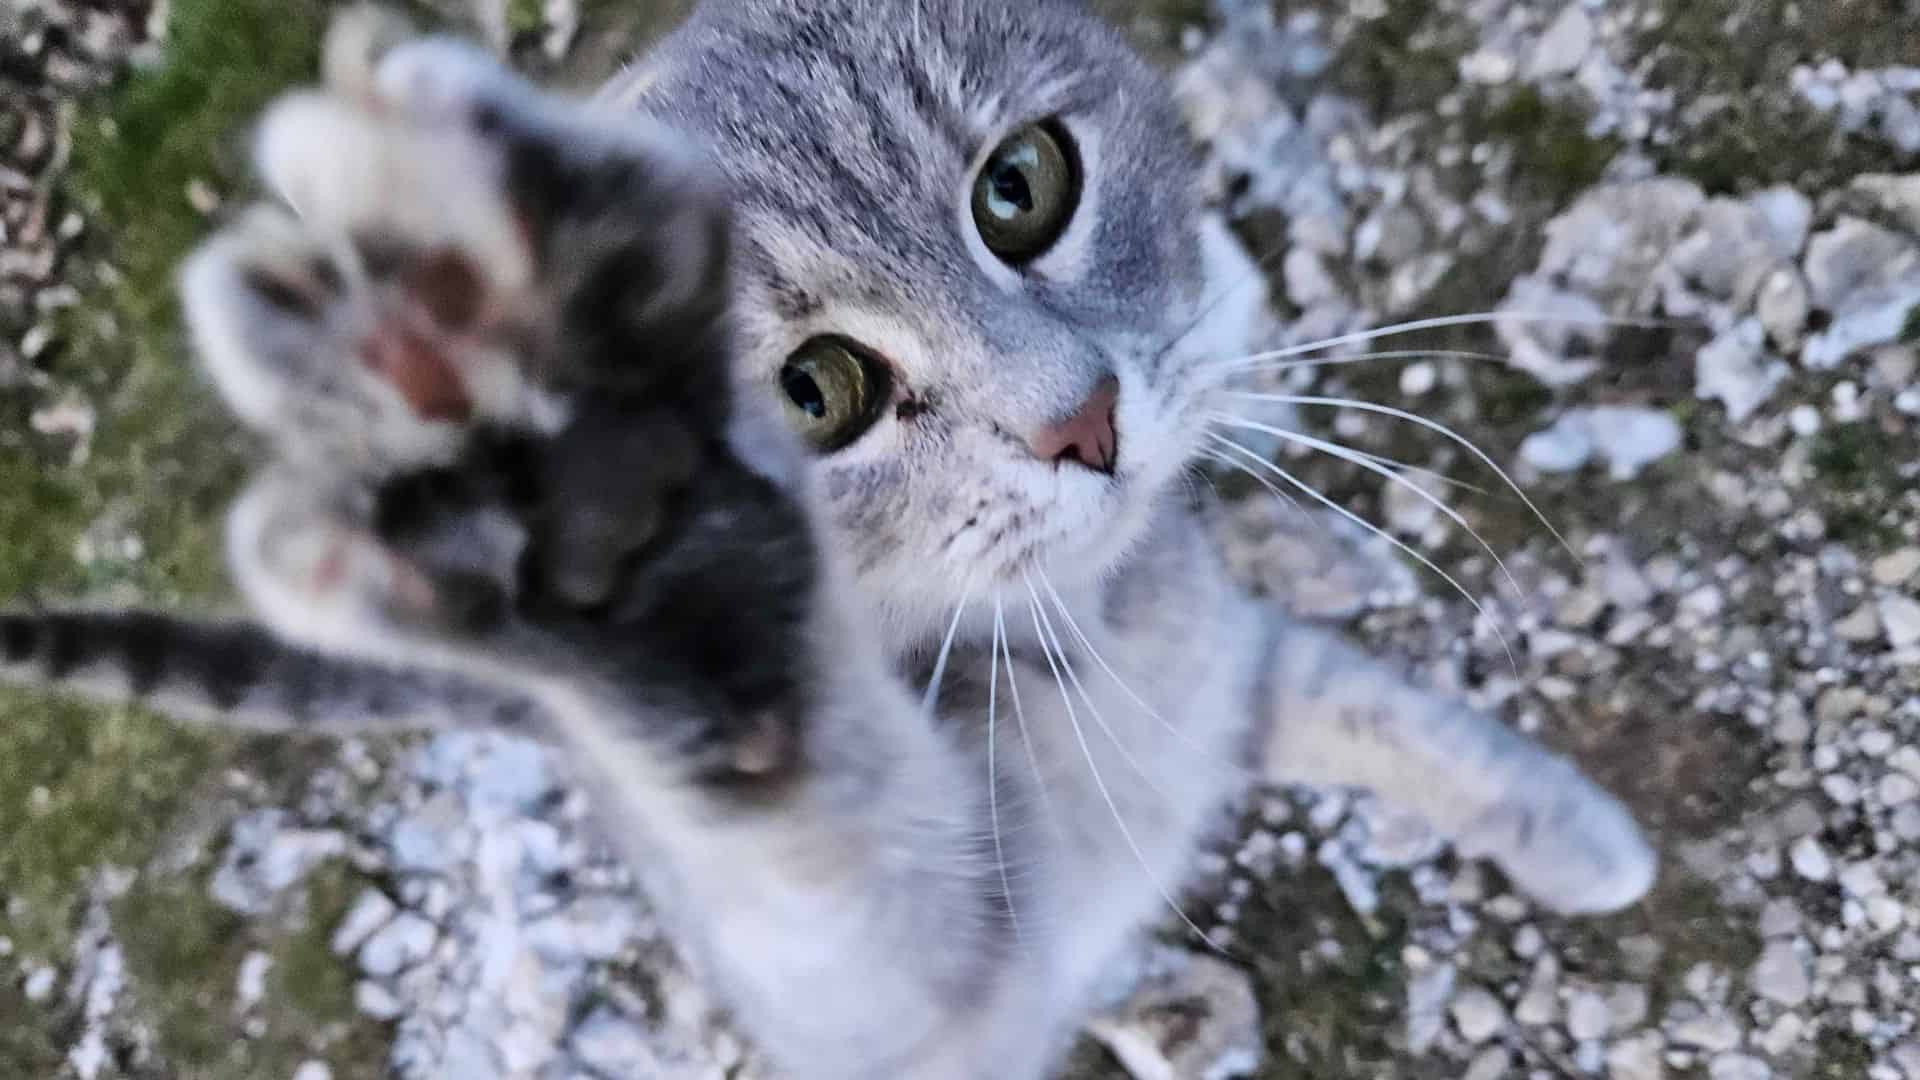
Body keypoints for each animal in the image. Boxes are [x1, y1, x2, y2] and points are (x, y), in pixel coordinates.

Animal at [0, 4, 1651, 1068]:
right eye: (813, 395)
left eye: (1022, 186)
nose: (1084, 419)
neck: (1096, 636)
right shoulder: (909, 989)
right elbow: (833, 842)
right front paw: (628, 545)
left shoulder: (1225, 672)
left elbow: (1387, 715)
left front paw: (1571, 832)